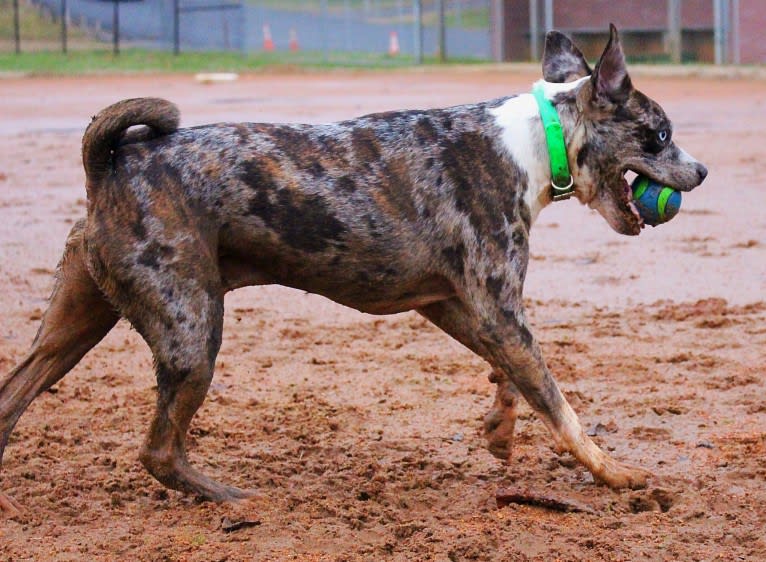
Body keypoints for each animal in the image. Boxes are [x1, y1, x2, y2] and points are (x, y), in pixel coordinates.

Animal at [0, 25, 708, 512]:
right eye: (661, 134)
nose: (702, 171)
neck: (536, 141)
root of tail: (111, 163)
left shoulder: (458, 306)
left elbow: (514, 377)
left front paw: (500, 430)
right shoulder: (496, 308)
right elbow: (559, 404)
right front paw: (614, 474)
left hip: (74, 325)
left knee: (12, 397)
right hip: (192, 334)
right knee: (158, 450)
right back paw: (231, 497)